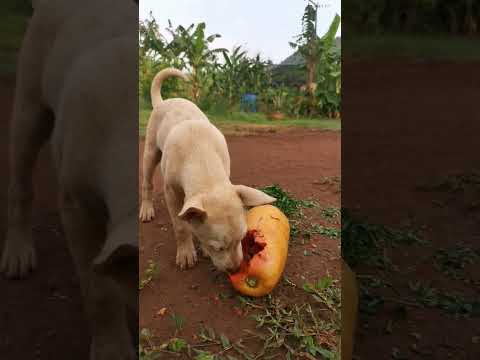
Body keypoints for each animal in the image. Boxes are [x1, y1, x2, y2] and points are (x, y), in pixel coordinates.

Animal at [1, 1, 140, 358]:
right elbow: (98, 288)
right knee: (20, 177)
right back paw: (17, 262)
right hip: (29, 93)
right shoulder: (75, 203)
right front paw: (113, 353)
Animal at [139, 68, 274, 272]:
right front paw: (186, 253)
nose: (236, 269)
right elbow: (181, 226)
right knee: (147, 183)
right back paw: (146, 209)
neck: (202, 158)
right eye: (217, 247)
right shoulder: (171, 193)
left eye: (242, 239)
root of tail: (163, 101)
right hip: (150, 152)